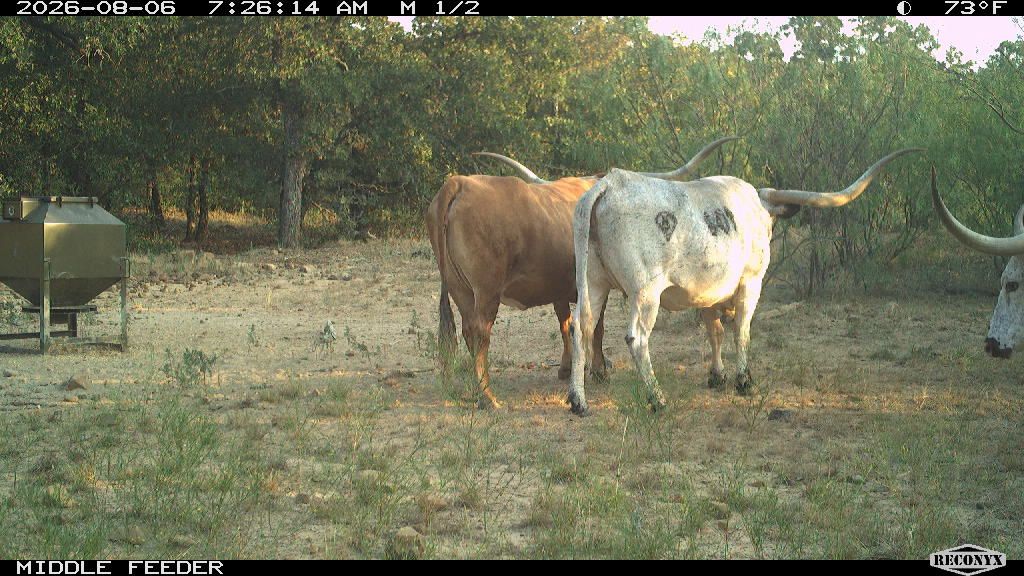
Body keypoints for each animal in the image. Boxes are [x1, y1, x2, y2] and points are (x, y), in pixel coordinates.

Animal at [425, 137, 738, 409]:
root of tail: (458, 183)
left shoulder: (561, 287)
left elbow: (566, 323)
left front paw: (567, 369)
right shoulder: (594, 286)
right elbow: (595, 327)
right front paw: (599, 370)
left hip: (461, 289)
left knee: (468, 332)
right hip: (486, 292)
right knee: (480, 333)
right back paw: (487, 397)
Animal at [567, 149, 922, 416]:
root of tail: (611, 183)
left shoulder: (707, 293)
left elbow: (715, 332)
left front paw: (717, 375)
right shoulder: (751, 283)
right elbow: (742, 331)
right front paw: (743, 380)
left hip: (593, 283)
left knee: (580, 327)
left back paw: (578, 400)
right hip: (645, 292)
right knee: (636, 338)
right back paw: (658, 399)